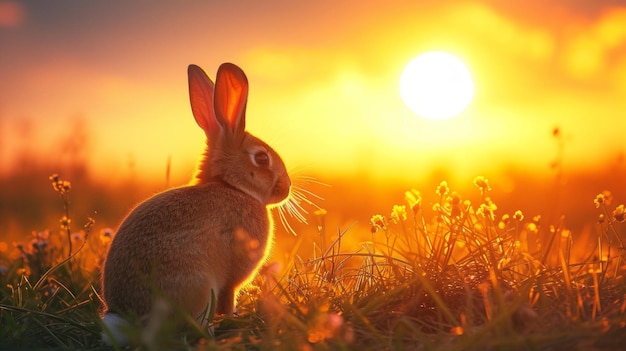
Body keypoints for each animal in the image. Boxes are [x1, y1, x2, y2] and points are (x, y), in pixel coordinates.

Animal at [101, 63, 292, 346]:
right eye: (261, 158)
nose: (287, 187)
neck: (232, 187)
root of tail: (127, 318)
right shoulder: (231, 278)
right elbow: (228, 297)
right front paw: (234, 316)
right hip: (197, 285)